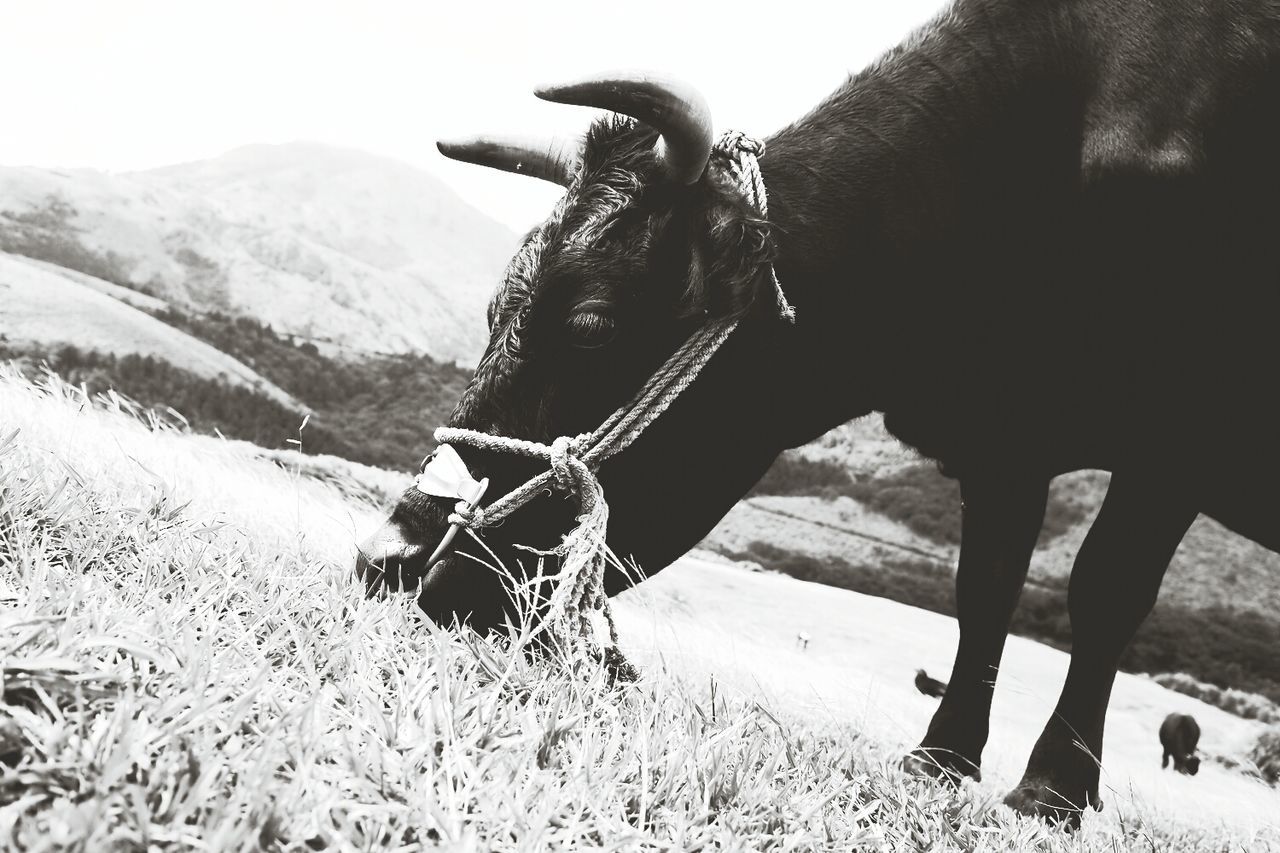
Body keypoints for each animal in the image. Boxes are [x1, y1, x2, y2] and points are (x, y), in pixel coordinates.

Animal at [358, 0, 1280, 824]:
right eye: (492, 310)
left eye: (592, 324)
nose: (385, 556)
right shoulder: (1004, 441)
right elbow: (984, 590)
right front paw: (939, 759)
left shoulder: (1175, 432)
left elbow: (1105, 591)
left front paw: (1053, 788)